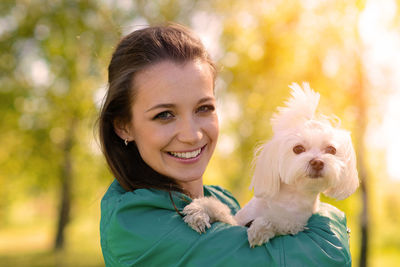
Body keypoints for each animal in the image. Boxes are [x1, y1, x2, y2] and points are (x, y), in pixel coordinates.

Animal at [183, 82, 358, 248]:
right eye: (298, 148)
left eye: (331, 150)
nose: (317, 162)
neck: (288, 199)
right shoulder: (238, 220)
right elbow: (220, 208)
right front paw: (198, 212)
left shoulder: (295, 223)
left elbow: (279, 222)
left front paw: (261, 228)